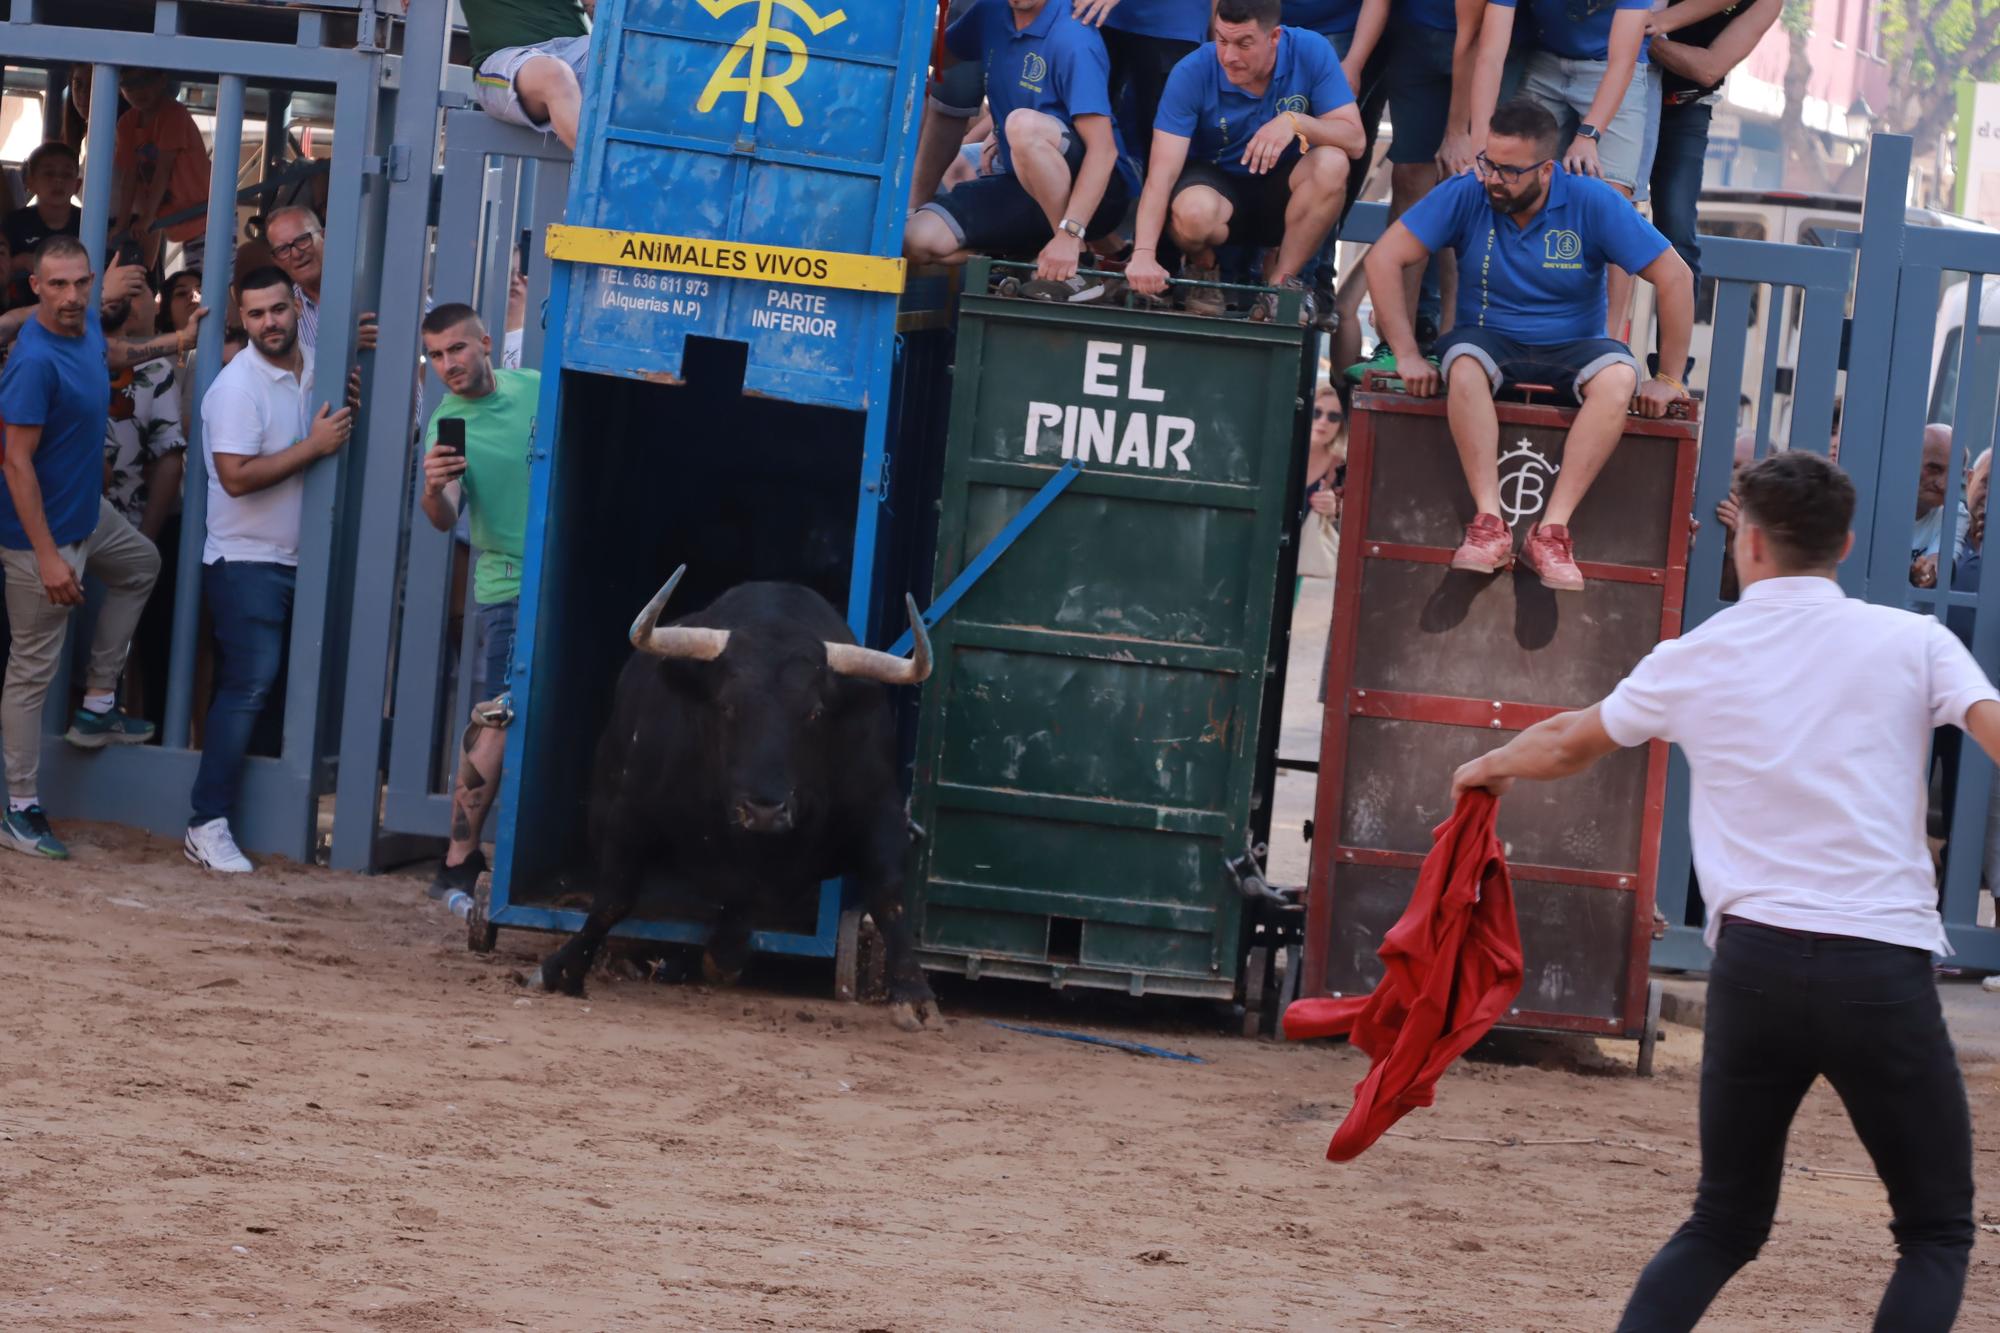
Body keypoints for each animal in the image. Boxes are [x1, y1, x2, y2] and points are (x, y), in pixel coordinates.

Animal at [524, 568, 944, 1024]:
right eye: (727, 706)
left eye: (815, 712)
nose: (764, 811)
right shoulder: (629, 812)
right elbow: (613, 898)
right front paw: (562, 968)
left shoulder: (879, 811)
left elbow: (888, 895)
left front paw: (914, 994)